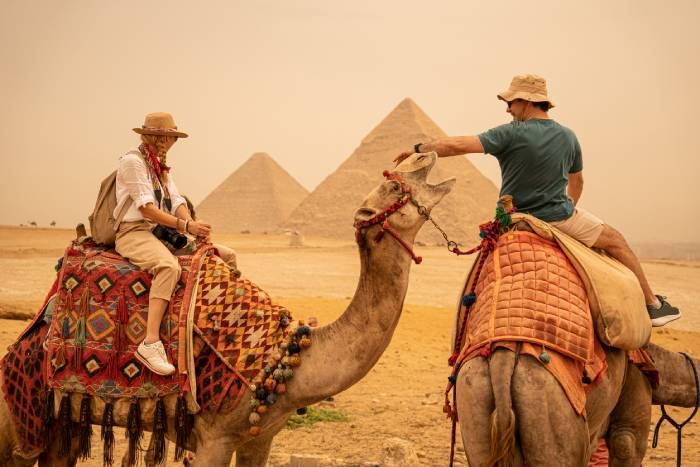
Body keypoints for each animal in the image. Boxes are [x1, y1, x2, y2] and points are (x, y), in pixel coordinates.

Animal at [0, 152, 456, 467]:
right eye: (393, 188)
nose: (423, 153)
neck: (289, 360)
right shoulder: (212, 438)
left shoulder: (260, 437)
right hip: (17, 412)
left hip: (62, 421)